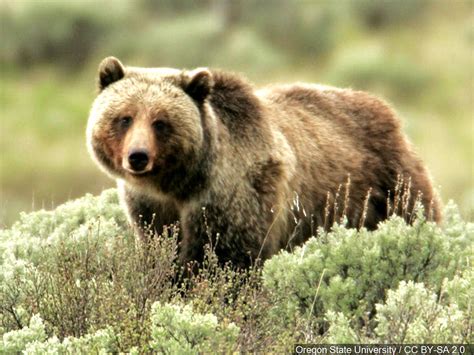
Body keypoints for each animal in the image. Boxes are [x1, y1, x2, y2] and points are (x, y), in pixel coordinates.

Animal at [86, 57, 440, 270]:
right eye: (125, 118)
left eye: (161, 122)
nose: (138, 157)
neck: (180, 183)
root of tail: (388, 111)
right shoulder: (151, 207)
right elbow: (161, 247)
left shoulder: (235, 194)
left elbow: (226, 257)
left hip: (387, 186)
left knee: (414, 213)